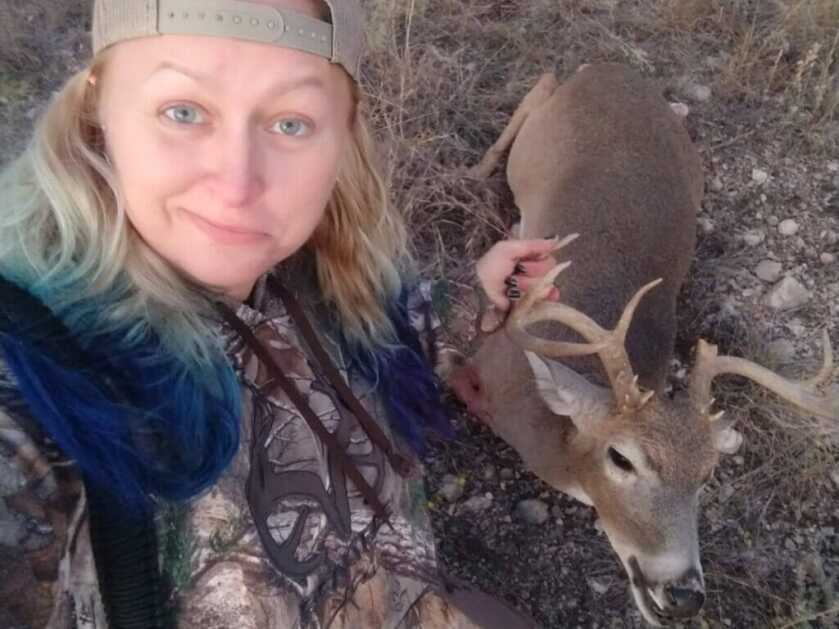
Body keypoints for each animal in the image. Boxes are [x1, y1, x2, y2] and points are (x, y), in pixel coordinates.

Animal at [446, 63, 838, 626]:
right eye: (622, 458)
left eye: (706, 473)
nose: (683, 594)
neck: (555, 443)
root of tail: (612, 68)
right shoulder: (483, 371)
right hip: (536, 138)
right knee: (541, 84)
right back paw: (475, 172)